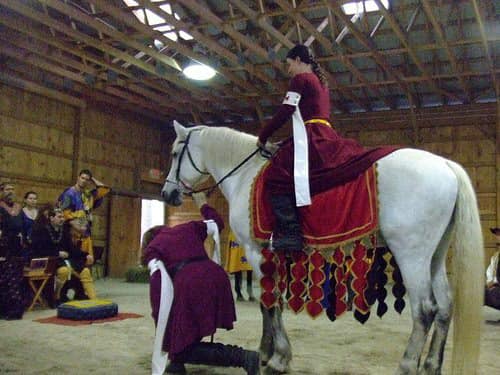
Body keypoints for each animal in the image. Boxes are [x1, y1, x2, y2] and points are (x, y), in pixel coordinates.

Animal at [162, 122, 482, 374]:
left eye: (175, 154)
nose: (167, 193)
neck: (246, 174)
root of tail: (444, 165)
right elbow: (270, 303)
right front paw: (267, 351)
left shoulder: (255, 252)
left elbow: (271, 304)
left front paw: (278, 358)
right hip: (434, 257)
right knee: (444, 307)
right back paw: (431, 366)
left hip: (411, 255)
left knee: (425, 310)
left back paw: (406, 366)